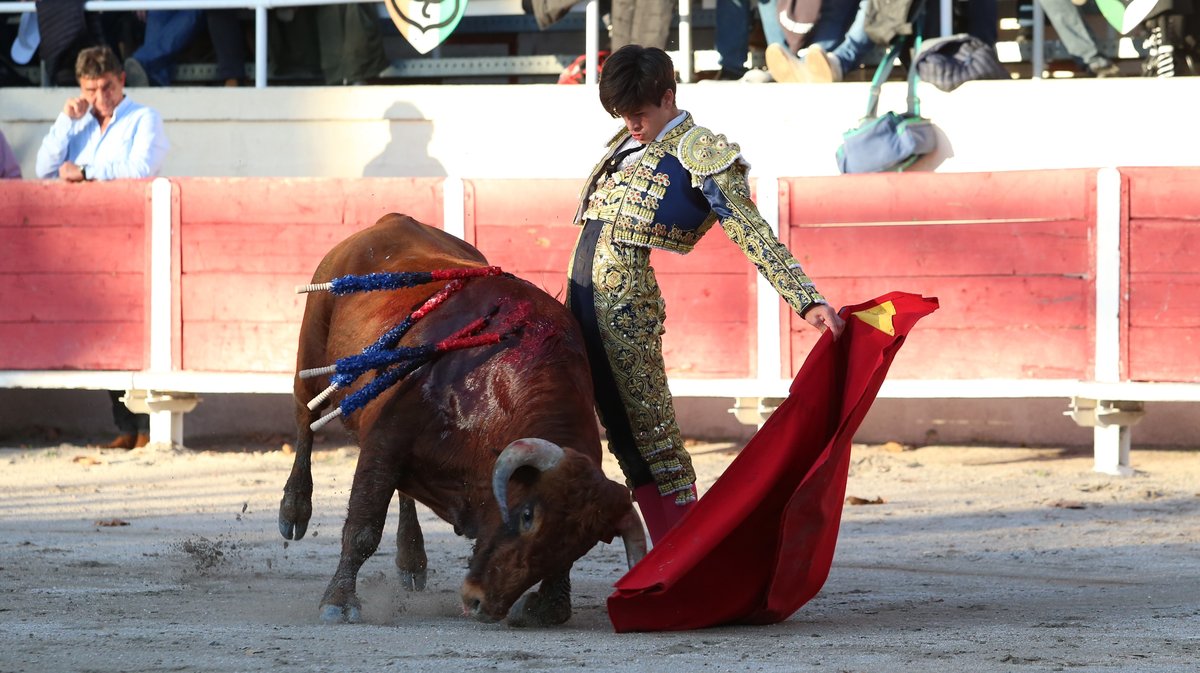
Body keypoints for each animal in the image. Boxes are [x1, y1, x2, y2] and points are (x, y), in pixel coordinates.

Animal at [276, 213, 648, 623]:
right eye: (527, 515)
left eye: (582, 546)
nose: (483, 604)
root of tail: (391, 220)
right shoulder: (385, 440)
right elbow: (363, 526)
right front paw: (339, 603)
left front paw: (550, 607)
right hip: (311, 348)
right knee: (304, 416)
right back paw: (294, 511)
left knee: (403, 493)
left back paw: (412, 561)